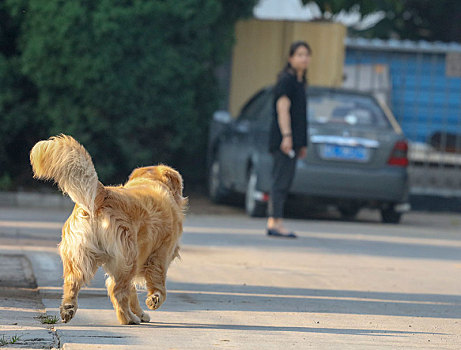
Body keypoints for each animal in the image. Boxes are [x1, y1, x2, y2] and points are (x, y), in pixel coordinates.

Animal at [29, 135, 185, 326]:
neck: (152, 181)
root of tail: (103, 194)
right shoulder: (161, 253)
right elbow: (158, 284)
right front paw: (154, 300)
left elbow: (133, 293)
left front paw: (141, 313)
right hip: (128, 259)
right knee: (117, 291)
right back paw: (128, 319)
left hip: (80, 256)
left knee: (74, 282)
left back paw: (68, 308)